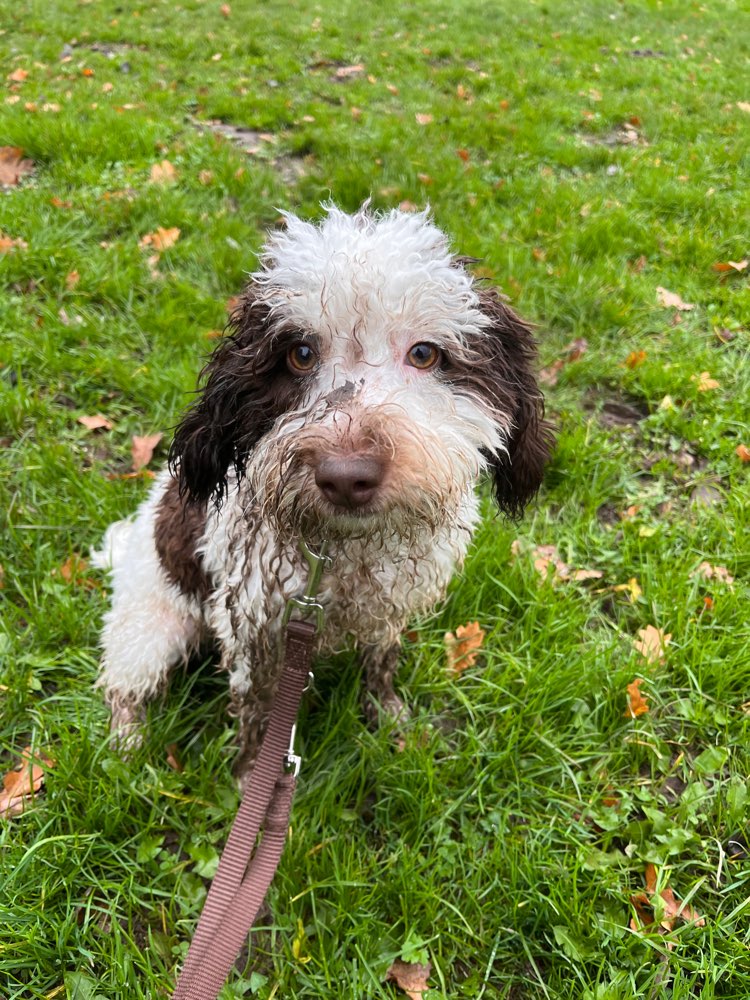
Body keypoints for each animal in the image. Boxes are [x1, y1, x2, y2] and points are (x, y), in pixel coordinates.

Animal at [92, 205, 552, 780]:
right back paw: (125, 741)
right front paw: (251, 774)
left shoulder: (388, 606)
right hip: (150, 627)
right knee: (121, 685)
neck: (346, 553)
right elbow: (255, 708)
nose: (345, 477)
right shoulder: (252, 623)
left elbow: (381, 661)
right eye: (300, 354)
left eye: (426, 354)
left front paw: (387, 715)